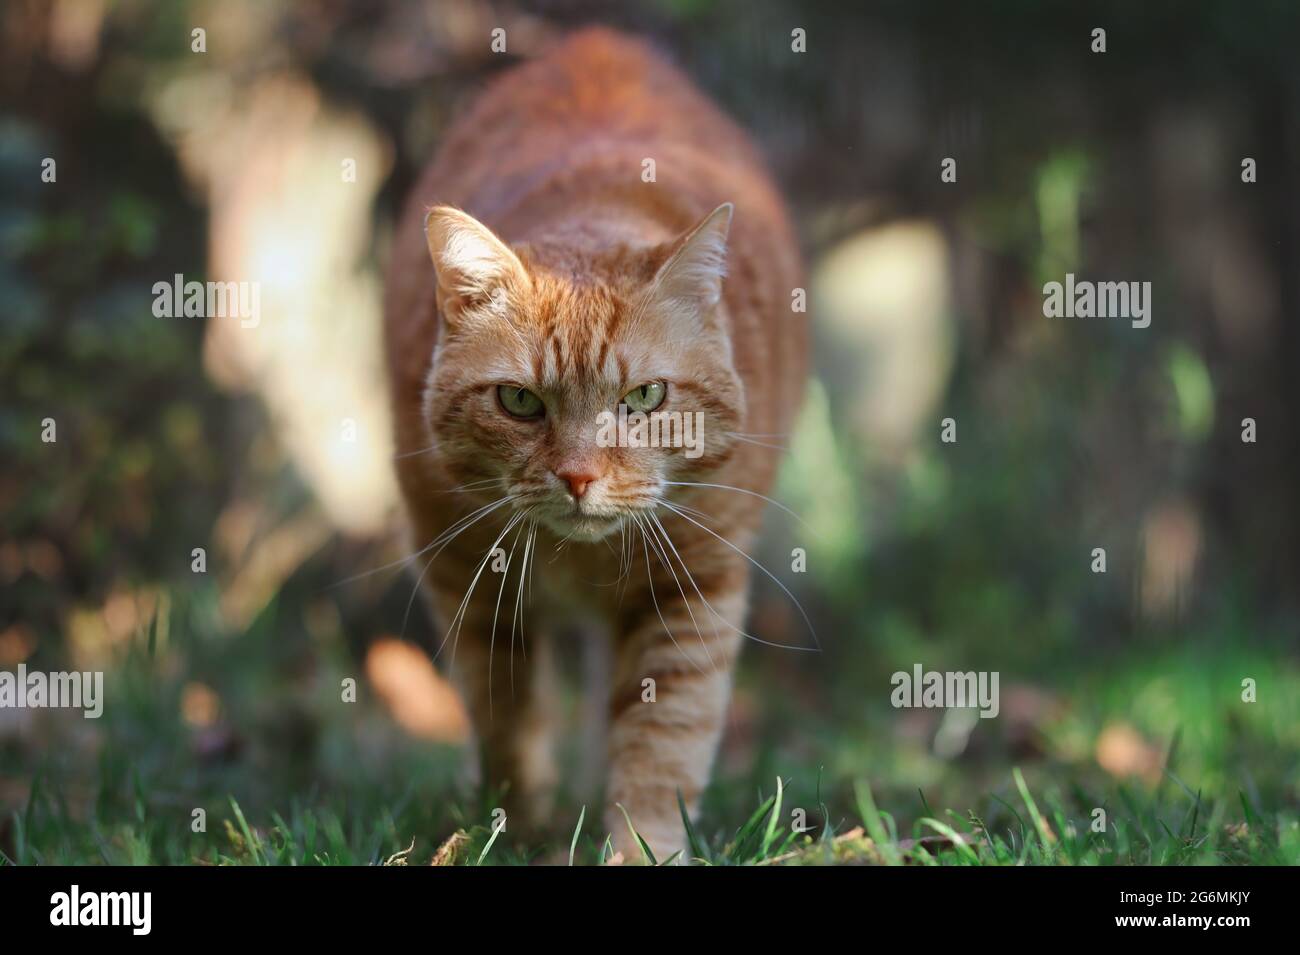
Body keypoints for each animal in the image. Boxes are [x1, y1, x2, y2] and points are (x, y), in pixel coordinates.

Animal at [379, 26, 806, 857]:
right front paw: (513, 830)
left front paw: (638, 846)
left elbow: (662, 740)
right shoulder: (467, 577)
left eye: (644, 398)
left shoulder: (692, 587)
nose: (578, 476)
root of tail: (596, 39)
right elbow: (506, 717)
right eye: (519, 401)